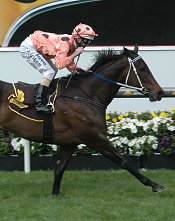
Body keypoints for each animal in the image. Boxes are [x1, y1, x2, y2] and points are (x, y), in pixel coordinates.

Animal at [0, 45, 165, 194]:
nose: (159, 92)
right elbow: (124, 161)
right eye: (142, 68)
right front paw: (155, 185)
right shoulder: (94, 137)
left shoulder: (70, 143)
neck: (85, 95)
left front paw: (55, 195)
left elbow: (59, 168)